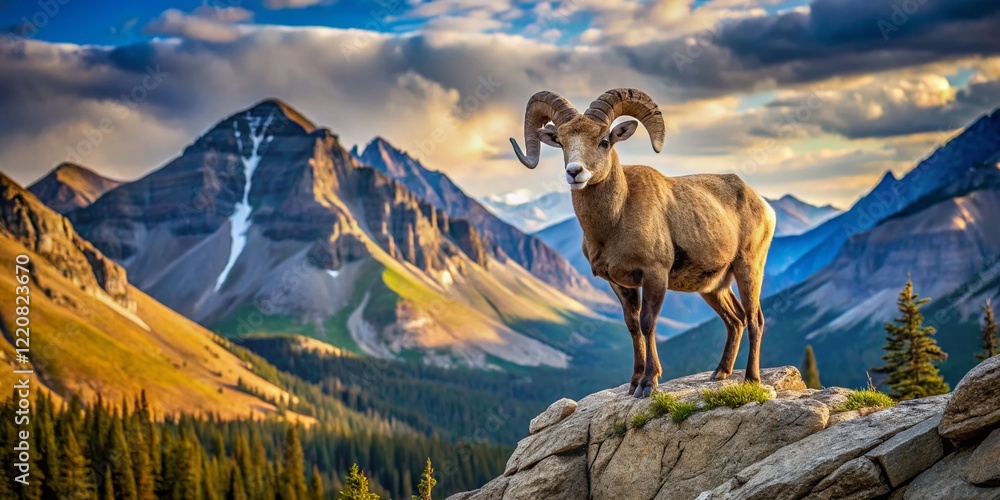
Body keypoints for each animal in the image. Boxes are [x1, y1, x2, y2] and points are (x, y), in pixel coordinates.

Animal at [510, 88, 776, 398]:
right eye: (562, 143)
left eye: (604, 141)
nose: (575, 172)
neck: (614, 222)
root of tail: (763, 204)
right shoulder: (620, 284)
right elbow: (633, 326)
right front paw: (634, 383)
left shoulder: (654, 275)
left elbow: (649, 324)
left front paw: (649, 383)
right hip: (713, 287)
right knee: (736, 320)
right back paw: (719, 373)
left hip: (748, 269)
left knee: (755, 319)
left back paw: (751, 380)